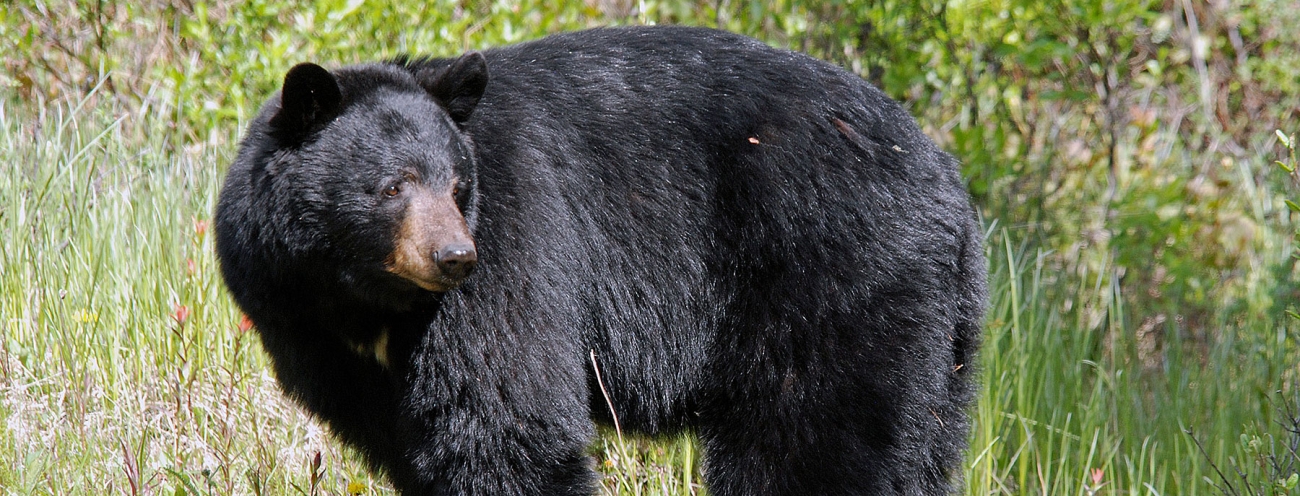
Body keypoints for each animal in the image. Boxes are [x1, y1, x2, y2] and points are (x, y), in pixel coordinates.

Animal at [215, 24, 982, 496]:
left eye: (458, 186)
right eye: (394, 185)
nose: (455, 256)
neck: (361, 295)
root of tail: (946, 179)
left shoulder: (516, 243)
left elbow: (506, 422)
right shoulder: (305, 327)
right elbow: (409, 438)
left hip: (834, 280)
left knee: (810, 442)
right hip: (938, 337)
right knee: (916, 448)